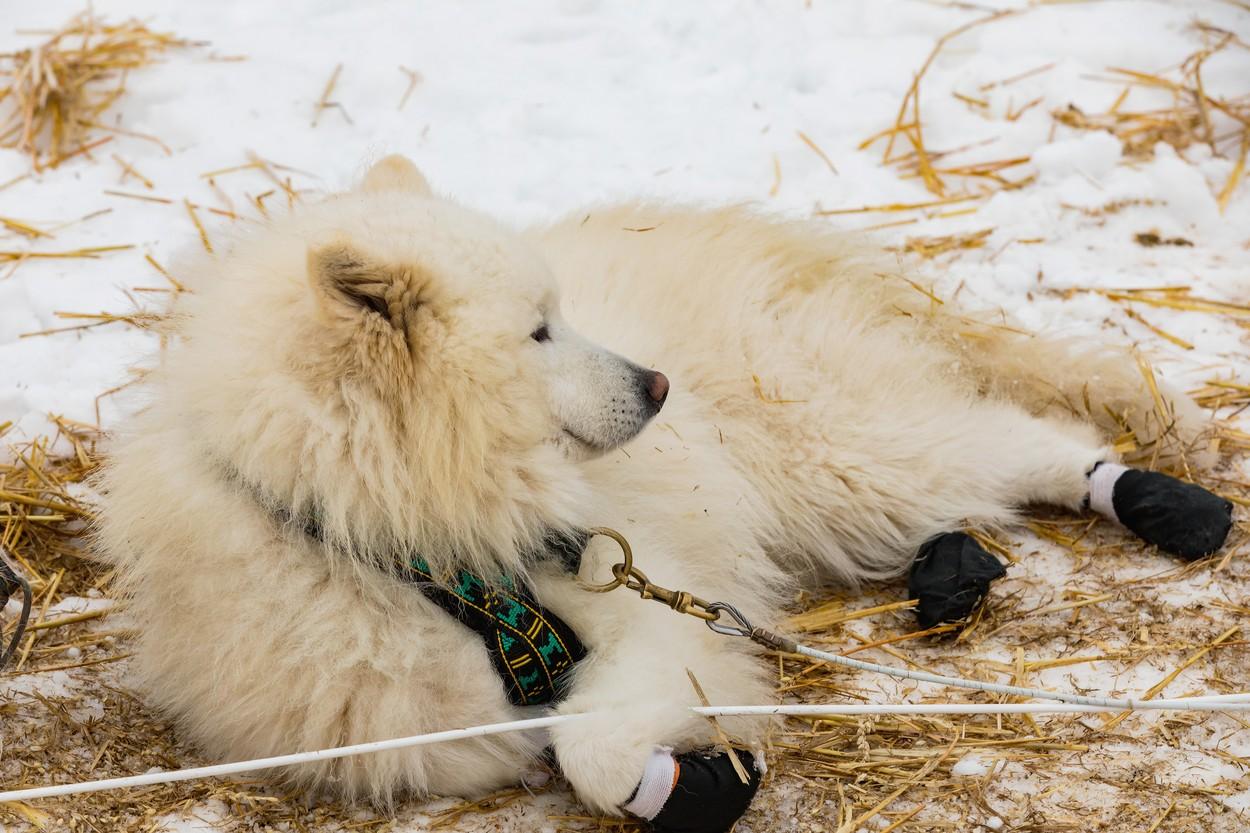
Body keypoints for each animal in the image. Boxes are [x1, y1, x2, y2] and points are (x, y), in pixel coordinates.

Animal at [95, 155, 1220, 825]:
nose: (659, 384)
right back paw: (950, 572)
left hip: (836, 449)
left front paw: (693, 777)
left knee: (1019, 441)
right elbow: (529, 736)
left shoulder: (648, 602)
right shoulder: (406, 723)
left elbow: (591, 741)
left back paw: (1154, 497)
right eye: (538, 332)